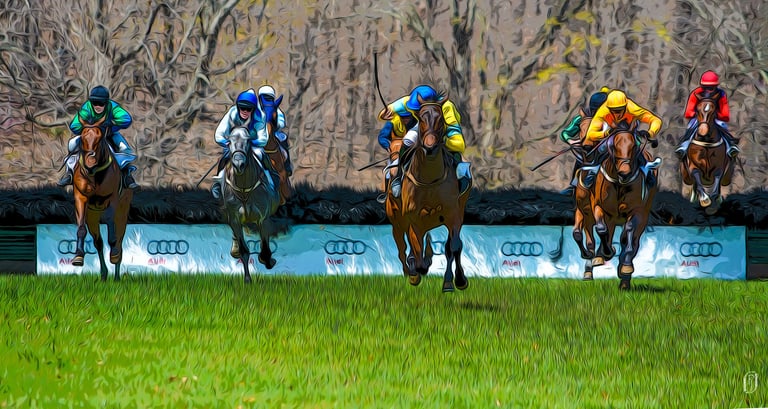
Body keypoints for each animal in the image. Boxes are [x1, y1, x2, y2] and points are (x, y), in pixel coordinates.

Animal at [71, 115, 134, 281]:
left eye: (99, 139)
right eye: (82, 139)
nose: (90, 164)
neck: (95, 175)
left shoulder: (112, 200)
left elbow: (113, 238)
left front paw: (114, 256)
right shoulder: (81, 198)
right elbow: (81, 229)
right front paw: (78, 256)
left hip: (122, 213)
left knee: (119, 241)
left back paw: (116, 275)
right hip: (93, 216)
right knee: (98, 242)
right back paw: (104, 274)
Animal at [220, 119, 281, 283]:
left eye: (248, 141)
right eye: (229, 141)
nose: (239, 164)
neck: (243, 189)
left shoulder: (263, 218)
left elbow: (265, 249)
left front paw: (268, 260)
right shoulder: (234, 219)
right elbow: (244, 250)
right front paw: (247, 279)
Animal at [385, 93, 471, 292]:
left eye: (440, 118)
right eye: (421, 118)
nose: (430, 147)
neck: (429, 179)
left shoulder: (453, 214)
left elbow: (453, 247)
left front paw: (454, 281)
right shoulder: (413, 219)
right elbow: (416, 250)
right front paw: (417, 270)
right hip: (396, 222)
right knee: (402, 248)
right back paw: (411, 272)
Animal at [590, 122, 659, 290]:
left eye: (634, 146)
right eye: (614, 146)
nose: (625, 172)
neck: (619, 183)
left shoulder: (637, 211)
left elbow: (629, 234)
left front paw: (626, 266)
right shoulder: (600, 206)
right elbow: (601, 228)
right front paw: (604, 253)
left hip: (643, 217)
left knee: (632, 241)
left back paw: (624, 277)